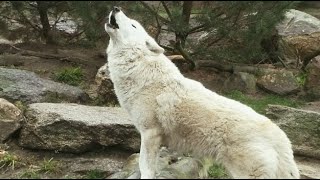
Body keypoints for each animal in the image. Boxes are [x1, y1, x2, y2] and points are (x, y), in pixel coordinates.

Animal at [104, 6, 300, 179]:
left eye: (133, 25)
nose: (116, 8)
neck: (140, 68)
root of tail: (281, 138)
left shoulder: (150, 134)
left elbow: (145, 168)